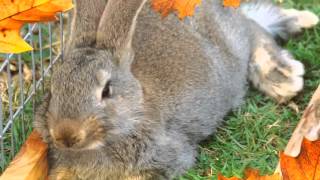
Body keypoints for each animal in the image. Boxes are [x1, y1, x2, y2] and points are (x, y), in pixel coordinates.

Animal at [33, 0, 318, 179]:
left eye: (106, 91)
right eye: (53, 89)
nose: (66, 135)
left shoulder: (165, 160)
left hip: (231, 45)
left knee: (251, 28)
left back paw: (282, 76)